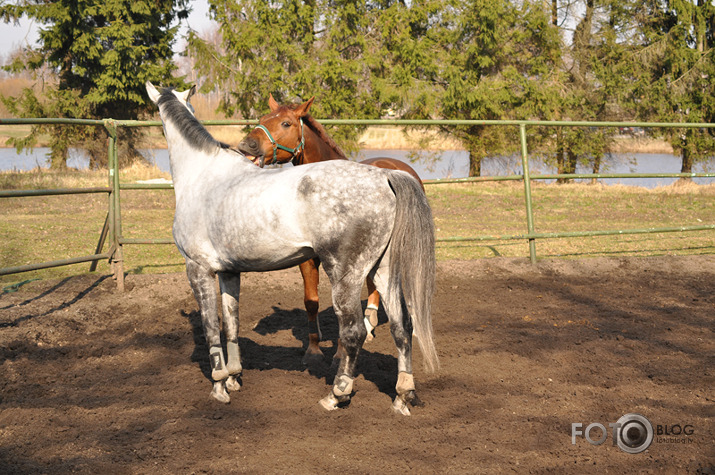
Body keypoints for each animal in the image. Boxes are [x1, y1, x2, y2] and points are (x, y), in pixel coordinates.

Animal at [239, 96, 426, 362]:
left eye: (286, 123)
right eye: (262, 118)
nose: (247, 145)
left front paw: (340, 353)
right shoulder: (307, 261)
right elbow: (311, 301)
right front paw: (313, 349)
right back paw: (369, 324)